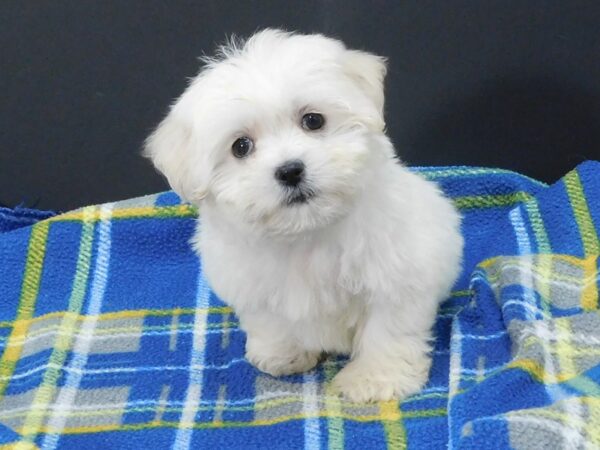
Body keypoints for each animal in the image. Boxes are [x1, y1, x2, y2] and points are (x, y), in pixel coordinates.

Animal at [146, 29, 464, 400]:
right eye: (241, 146)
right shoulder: (252, 288)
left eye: (313, 120)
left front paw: (375, 378)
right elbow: (271, 323)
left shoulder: (397, 277)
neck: (307, 231)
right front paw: (283, 354)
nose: (290, 170)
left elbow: (387, 330)